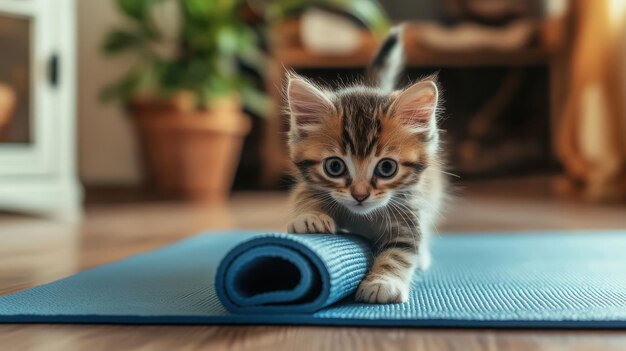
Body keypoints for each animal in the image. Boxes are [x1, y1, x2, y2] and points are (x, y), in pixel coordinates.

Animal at [286, 26, 442, 306]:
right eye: (334, 167)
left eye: (387, 168)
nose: (360, 195)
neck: (364, 217)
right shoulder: (309, 184)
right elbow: (303, 195)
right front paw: (309, 216)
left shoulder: (409, 211)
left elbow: (401, 251)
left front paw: (383, 282)